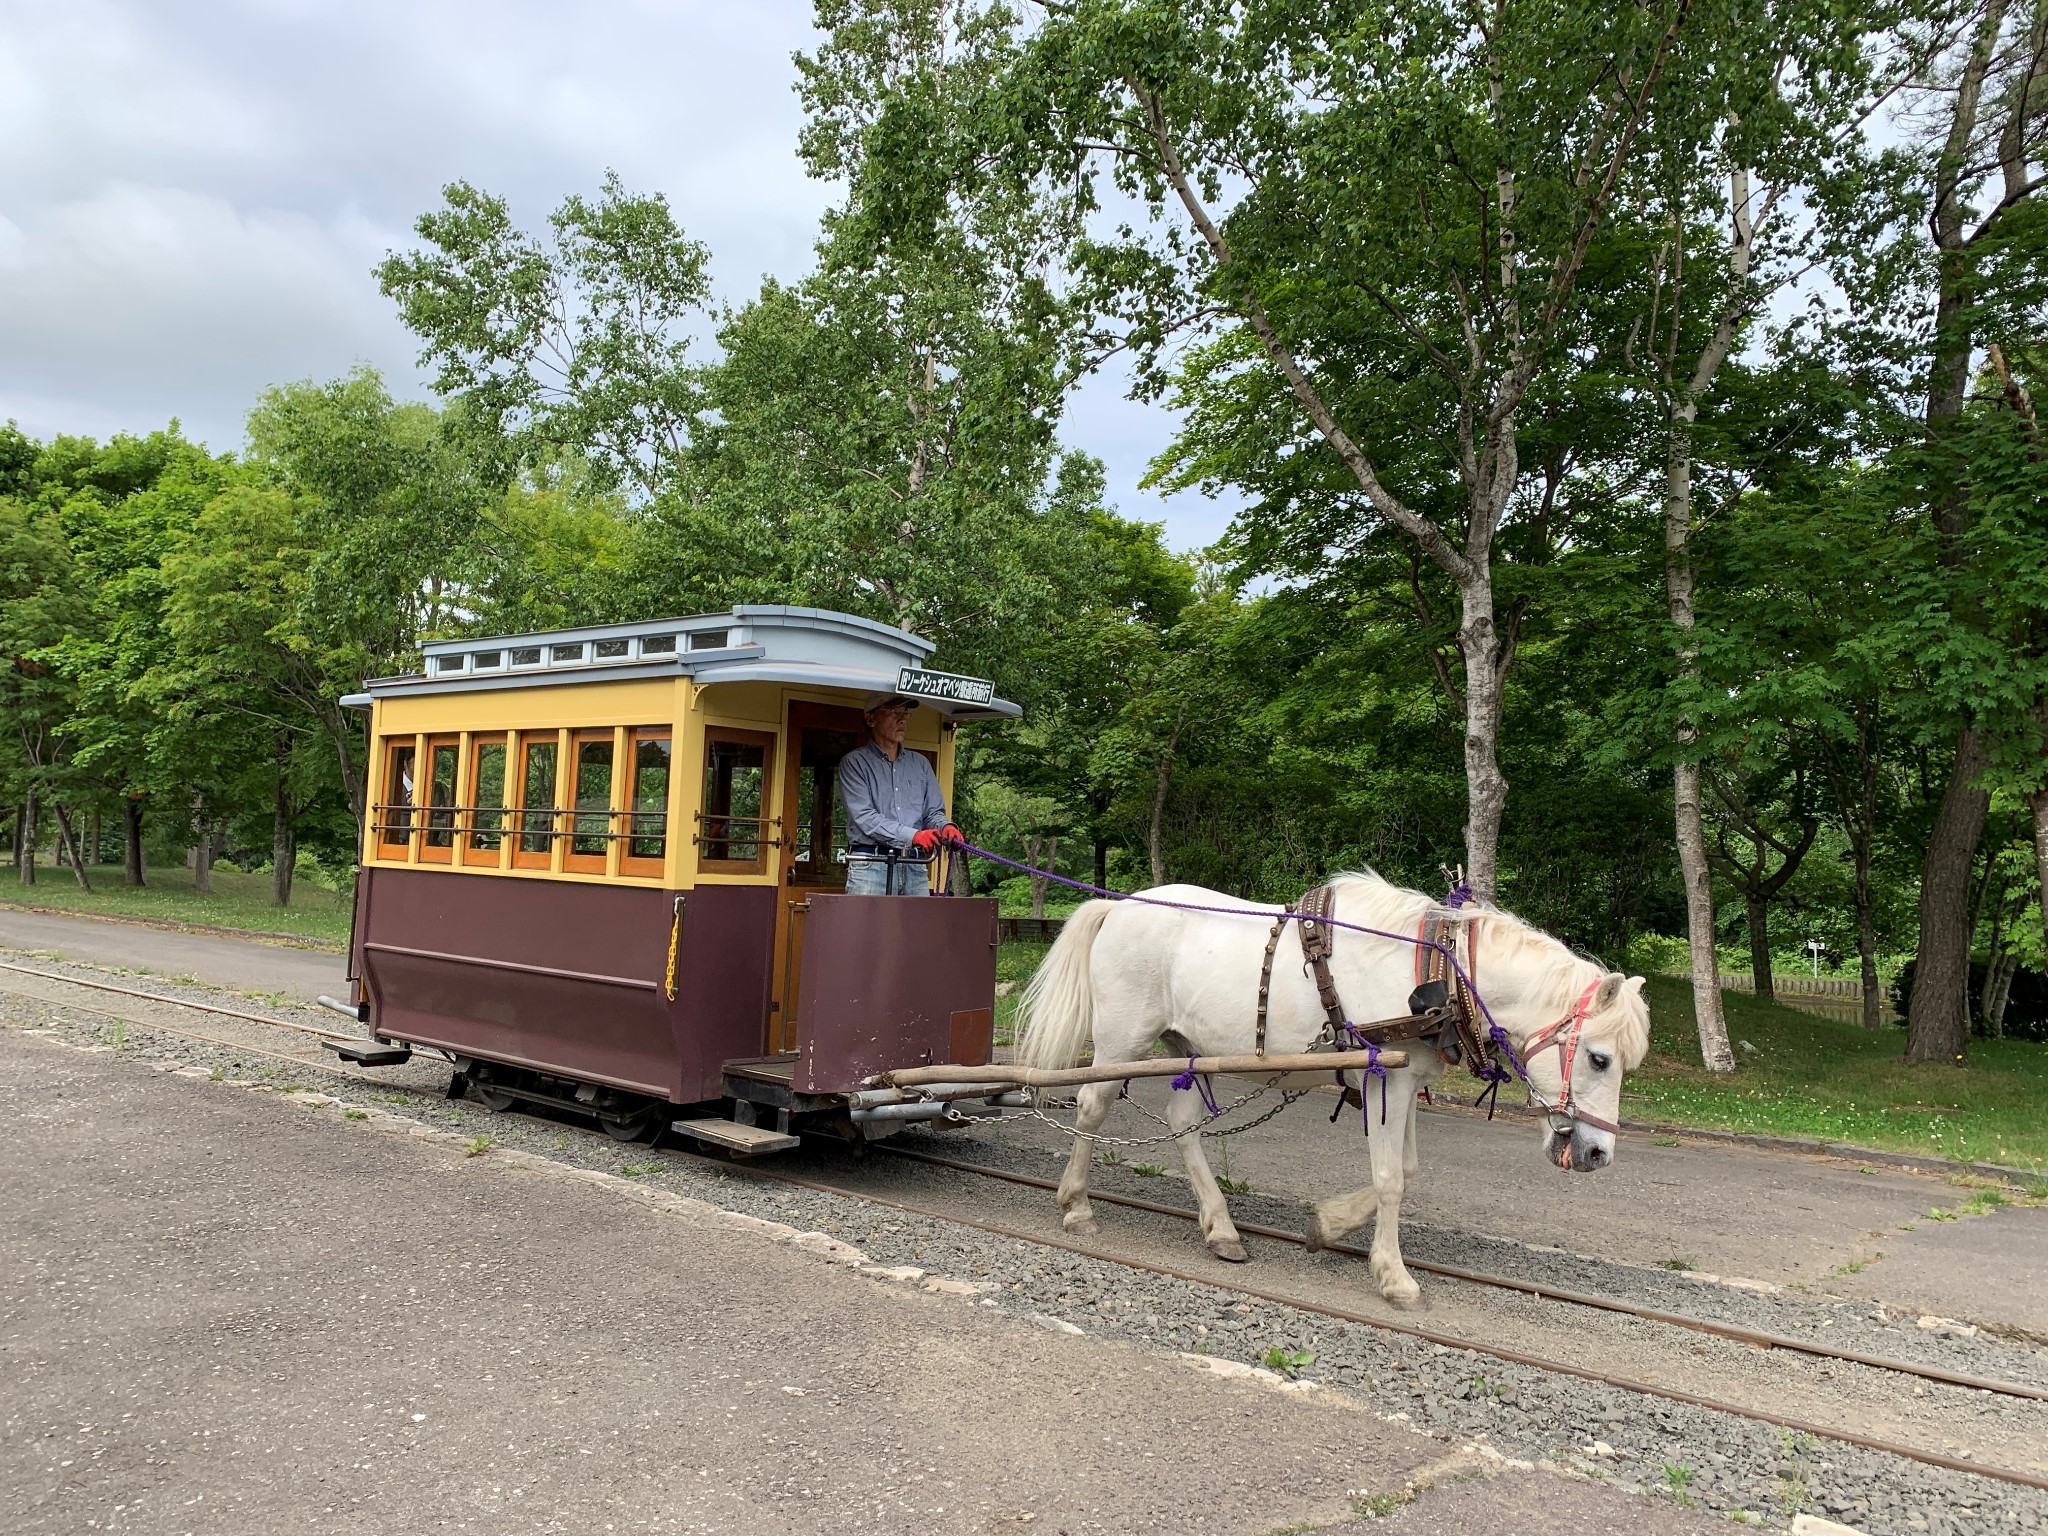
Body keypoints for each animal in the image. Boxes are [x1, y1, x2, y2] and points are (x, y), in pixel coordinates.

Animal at [1015, 876, 1654, 1310]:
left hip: (1190, 1046)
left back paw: (1221, 1228)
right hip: (1123, 1038)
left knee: (1183, 1123)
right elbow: (1391, 1178)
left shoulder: (1405, 1079)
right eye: (1598, 1058)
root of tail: (1118, 905)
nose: (1598, 1153)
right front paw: (1394, 1277)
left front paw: (1327, 1225)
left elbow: (1408, 1169)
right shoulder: (1384, 1078)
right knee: (1093, 1107)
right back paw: (1076, 1205)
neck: (1438, 972)